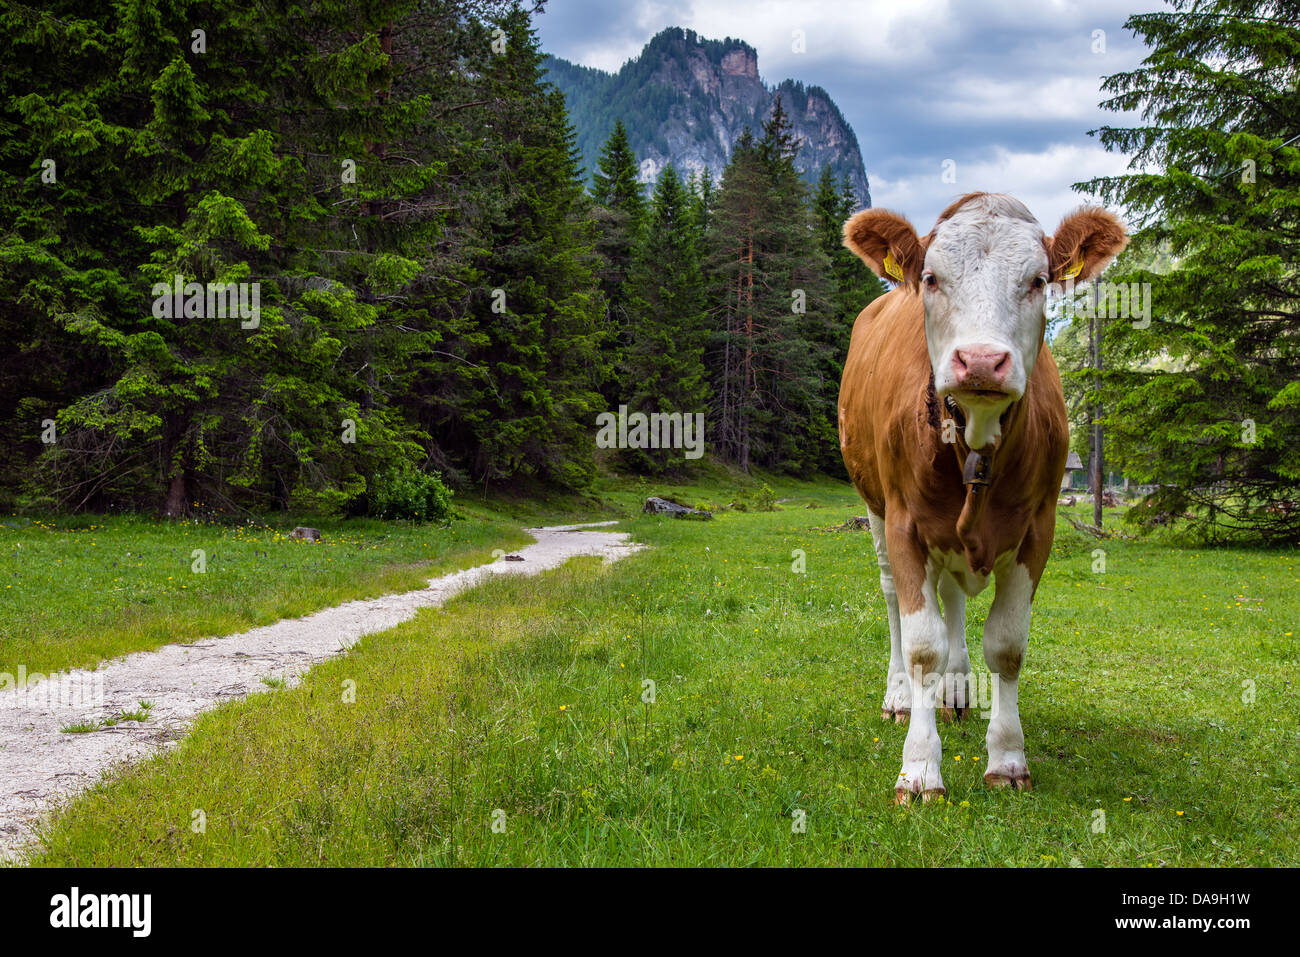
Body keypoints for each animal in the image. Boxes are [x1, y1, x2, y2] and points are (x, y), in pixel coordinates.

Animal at [837, 192, 1123, 800]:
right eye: (930, 277)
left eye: (1038, 280)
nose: (982, 361)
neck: (975, 437)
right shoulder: (903, 522)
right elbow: (923, 646)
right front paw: (920, 767)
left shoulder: (1040, 527)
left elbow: (1007, 645)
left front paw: (1008, 758)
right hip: (874, 507)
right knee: (895, 599)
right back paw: (899, 697)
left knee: (954, 598)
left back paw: (958, 689)